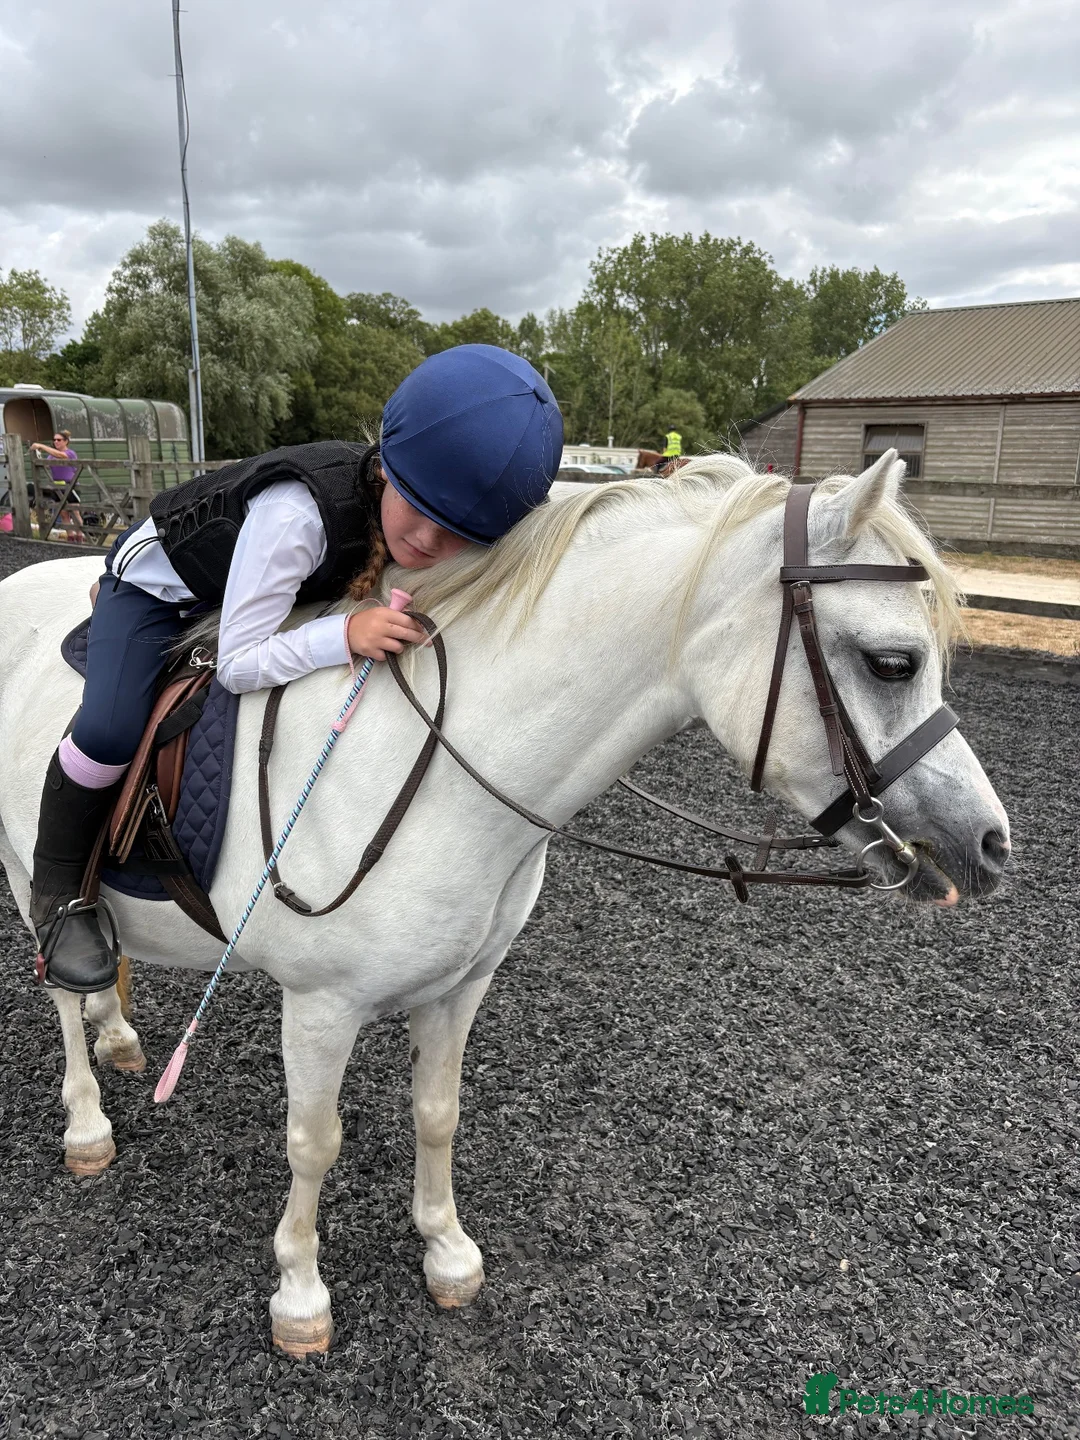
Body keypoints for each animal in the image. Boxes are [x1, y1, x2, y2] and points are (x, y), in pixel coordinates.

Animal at [0, 451, 1009, 1357]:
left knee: (103, 971)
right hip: (24, 872)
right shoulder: (319, 1009)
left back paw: (120, 1035)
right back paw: (86, 1120)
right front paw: (300, 1293)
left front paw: (446, 1250)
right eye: (892, 663)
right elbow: (313, 1143)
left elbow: (438, 1113)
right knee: (61, 975)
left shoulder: (461, 986)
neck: (438, 766)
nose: (992, 845)